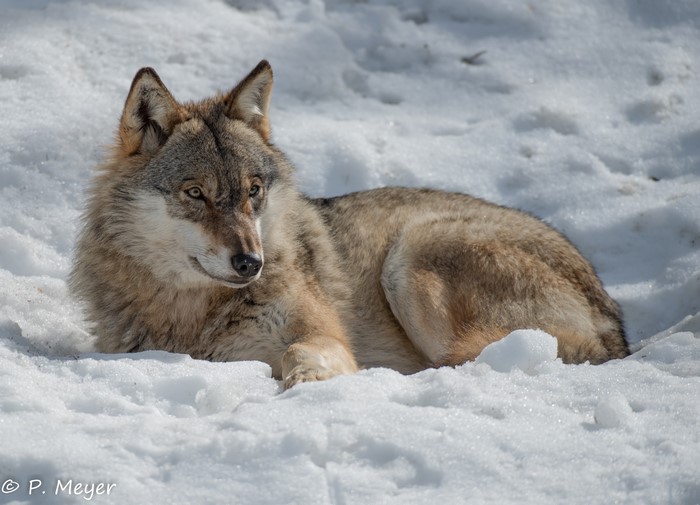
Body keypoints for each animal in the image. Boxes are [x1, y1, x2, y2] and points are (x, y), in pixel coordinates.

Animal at [70, 60, 629, 389]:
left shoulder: (323, 334)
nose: (251, 262)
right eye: (195, 194)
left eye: (253, 191)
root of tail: (615, 324)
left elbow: (302, 350)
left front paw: (307, 384)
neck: (194, 314)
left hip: (412, 255)